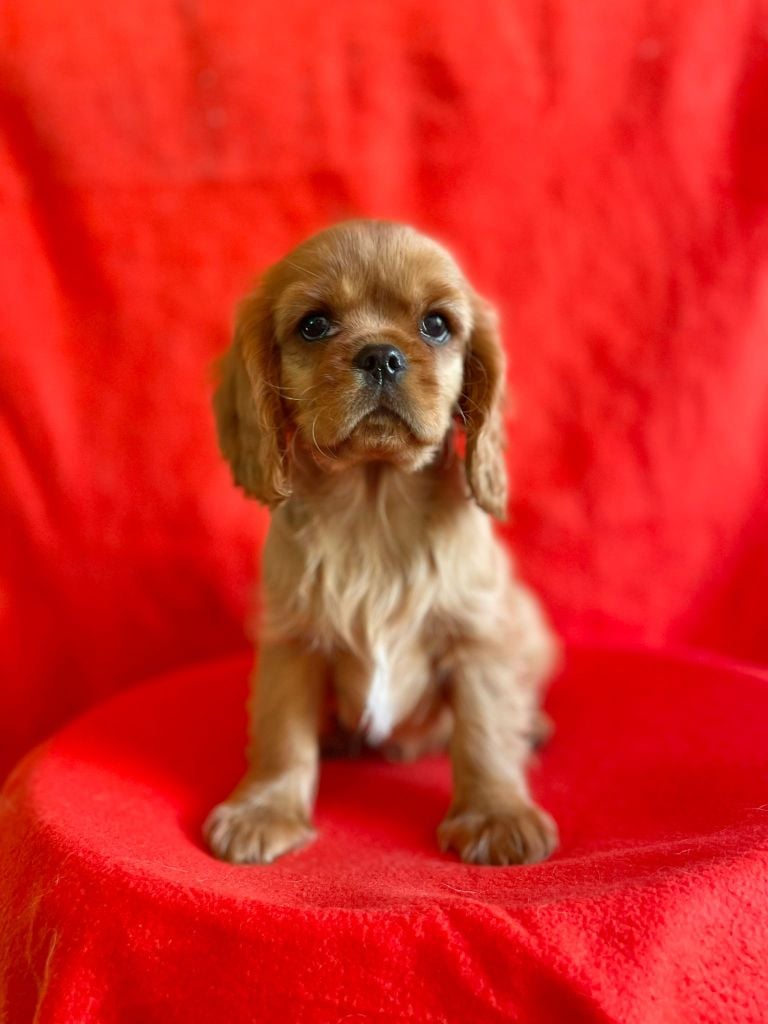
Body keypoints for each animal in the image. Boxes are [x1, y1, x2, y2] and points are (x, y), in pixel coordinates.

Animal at [204, 220, 559, 866]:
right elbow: (281, 733)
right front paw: (264, 811)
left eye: (436, 325)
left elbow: (486, 729)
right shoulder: (291, 640)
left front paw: (497, 815)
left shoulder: (479, 637)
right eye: (314, 325)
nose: (380, 356)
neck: (374, 508)